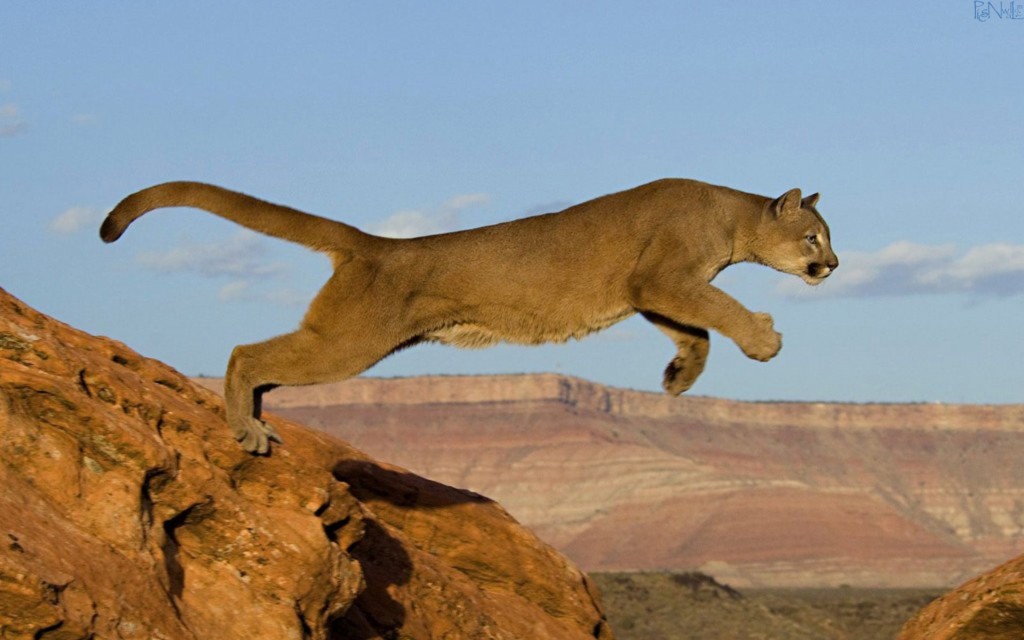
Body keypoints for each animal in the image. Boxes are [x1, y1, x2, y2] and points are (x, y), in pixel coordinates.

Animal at [101, 178, 838, 453]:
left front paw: (680, 376)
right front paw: (764, 341)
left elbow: (696, 326)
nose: (832, 265)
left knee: (262, 363)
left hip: (340, 338)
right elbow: (718, 308)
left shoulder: (650, 291)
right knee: (243, 354)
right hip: (348, 342)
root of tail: (380, 244)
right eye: (812, 237)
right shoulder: (660, 276)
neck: (731, 216)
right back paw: (246, 431)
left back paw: (255, 422)